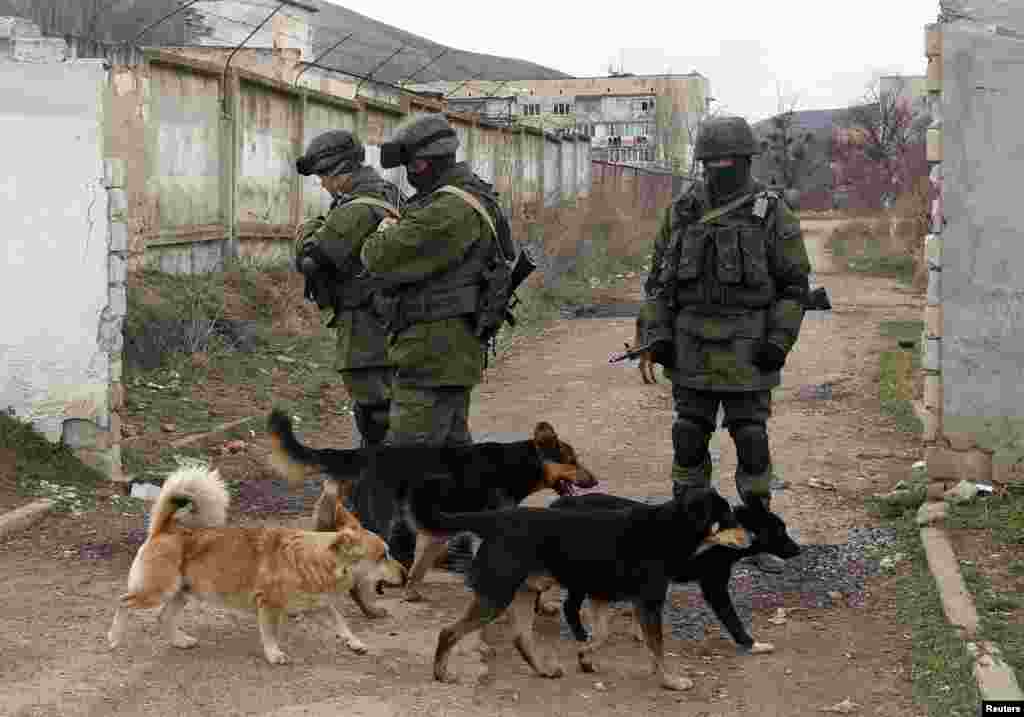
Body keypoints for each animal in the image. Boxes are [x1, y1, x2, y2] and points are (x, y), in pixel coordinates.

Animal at [107, 462, 403, 663]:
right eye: (383, 555)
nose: (405, 574)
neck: (314, 558)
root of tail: (165, 529)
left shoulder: (316, 602)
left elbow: (340, 620)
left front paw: (354, 642)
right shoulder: (268, 604)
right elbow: (270, 633)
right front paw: (274, 654)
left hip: (183, 592)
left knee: (163, 617)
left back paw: (180, 641)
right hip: (158, 591)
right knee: (124, 602)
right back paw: (114, 637)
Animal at [266, 409, 598, 606]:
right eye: (573, 461)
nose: (595, 481)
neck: (517, 464)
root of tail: (364, 453)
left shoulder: (436, 529)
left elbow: (418, 569)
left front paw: (412, 592)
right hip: (380, 518)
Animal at [411, 485, 749, 692]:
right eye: (728, 518)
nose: (751, 538)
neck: (668, 527)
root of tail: (497, 519)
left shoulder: (601, 596)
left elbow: (601, 635)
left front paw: (585, 657)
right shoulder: (649, 602)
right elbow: (656, 648)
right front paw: (671, 681)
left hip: (523, 593)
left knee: (521, 637)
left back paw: (544, 670)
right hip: (496, 595)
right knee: (449, 632)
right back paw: (442, 673)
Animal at [552, 493, 798, 655]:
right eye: (780, 531)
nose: (798, 549)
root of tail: (558, 503)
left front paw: (640, 633)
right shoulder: (713, 584)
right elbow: (731, 617)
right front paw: (750, 643)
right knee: (568, 606)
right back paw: (581, 636)